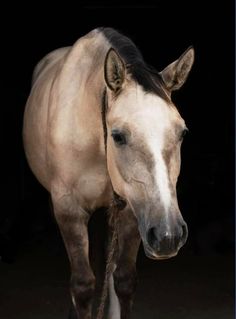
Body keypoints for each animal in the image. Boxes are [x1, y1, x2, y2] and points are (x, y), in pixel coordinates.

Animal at [23, 27, 195, 319]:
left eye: (182, 133)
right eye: (118, 136)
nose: (168, 235)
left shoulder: (133, 210)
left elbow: (123, 280)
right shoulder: (68, 209)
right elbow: (82, 285)